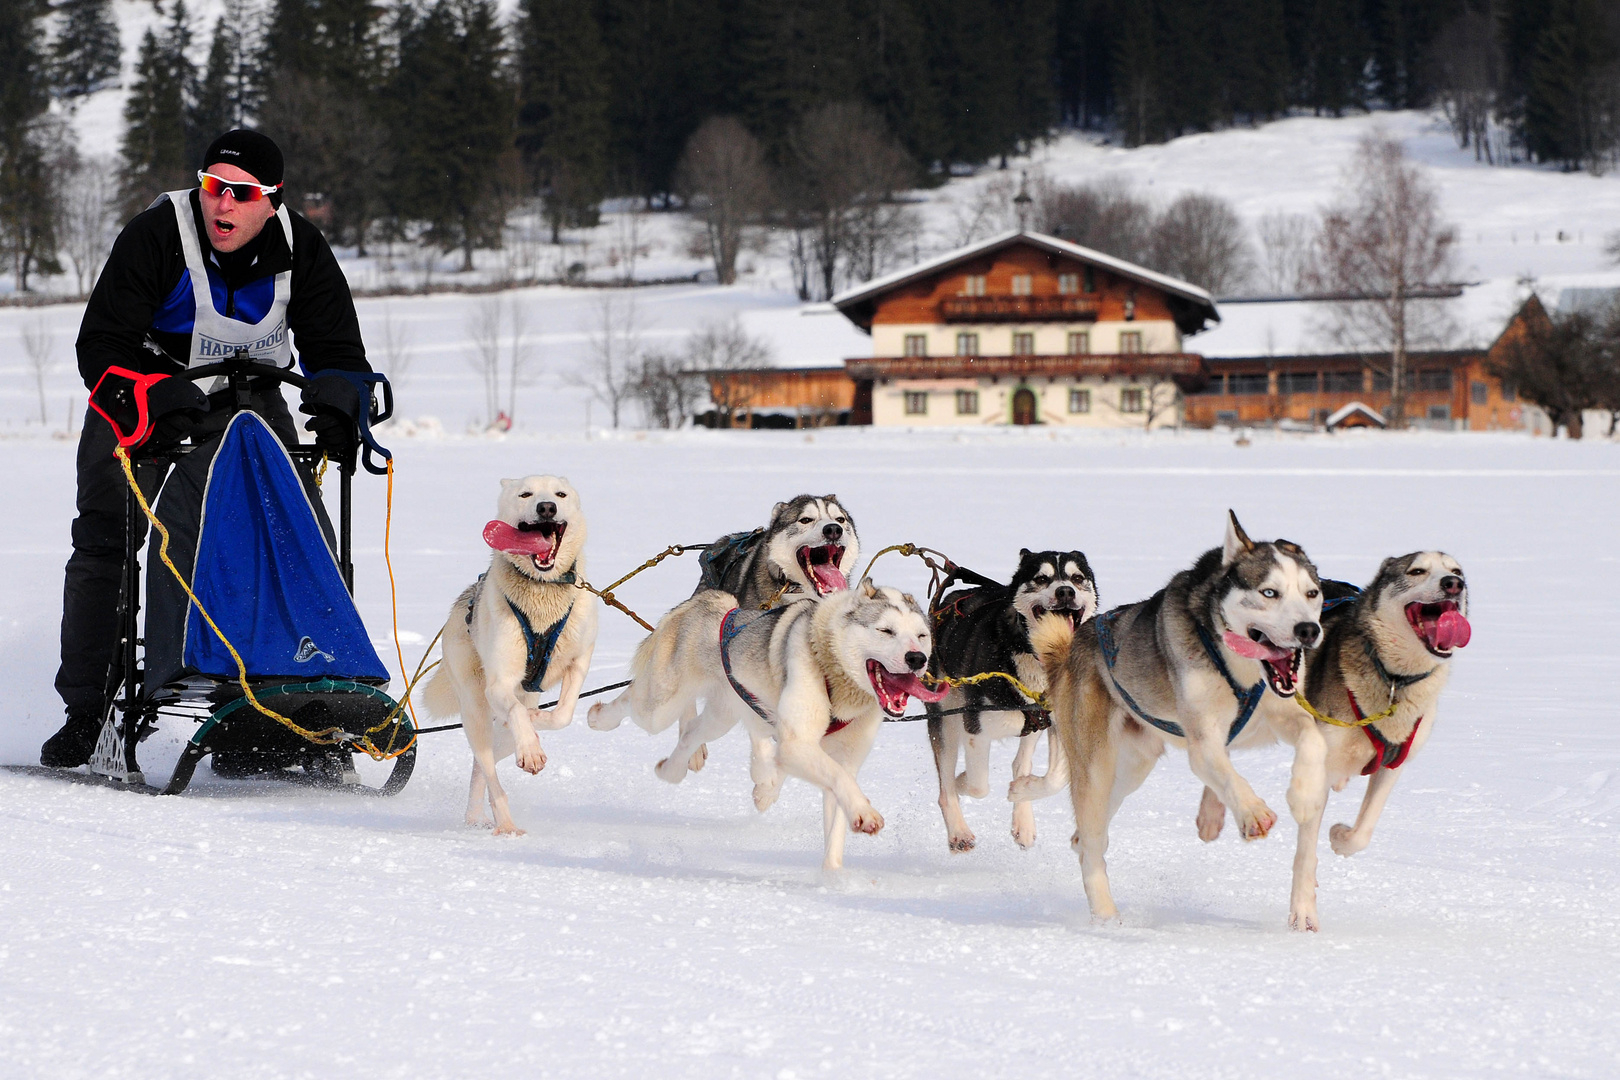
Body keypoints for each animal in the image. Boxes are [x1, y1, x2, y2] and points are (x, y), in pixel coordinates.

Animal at [424, 476, 602, 841]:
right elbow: (518, 714)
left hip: (503, 730)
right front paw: (531, 750)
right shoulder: (499, 684)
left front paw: (536, 723)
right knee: (490, 770)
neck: (542, 592)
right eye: (526, 494)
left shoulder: (580, 660)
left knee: (484, 762)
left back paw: (477, 814)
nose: (546, 507)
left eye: (560, 494)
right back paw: (504, 822)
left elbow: (562, 714)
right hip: (475, 711)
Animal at [602, 582, 946, 867]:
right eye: (886, 631)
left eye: (921, 636)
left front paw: (833, 879)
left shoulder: (843, 759)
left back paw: (670, 770)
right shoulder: (796, 743)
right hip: (659, 708)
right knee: (632, 699)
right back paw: (599, 716)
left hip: (722, 716)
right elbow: (838, 779)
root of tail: (713, 602)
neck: (834, 673)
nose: (917, 658)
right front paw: (865, 813)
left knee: (690, 733)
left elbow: (837, 812)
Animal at [1023, 514, 1328, 932]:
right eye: (1269, 593)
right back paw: (1106, 916)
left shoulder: (1283, 714)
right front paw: (1252, 812)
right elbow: (1225, 774)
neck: (1241, 669)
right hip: (1097, 765)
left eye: (1312, 593)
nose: (1308, 631)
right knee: (1090, 842)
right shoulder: (1202, 741)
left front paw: (1305, 794)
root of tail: (1071, 648)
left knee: (1083, 838)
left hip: (1133, 768)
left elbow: (1313, 743)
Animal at [1192, 550, 1470, 932]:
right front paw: (1303, 912)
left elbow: (1363, 832)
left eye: (1457, 571)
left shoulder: (1393, 764)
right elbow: (1305, 854)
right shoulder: (1319, 768)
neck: (1393, 679)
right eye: (1417, 571)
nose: (1453, 584)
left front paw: (1340, 837)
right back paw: (1211, 815)